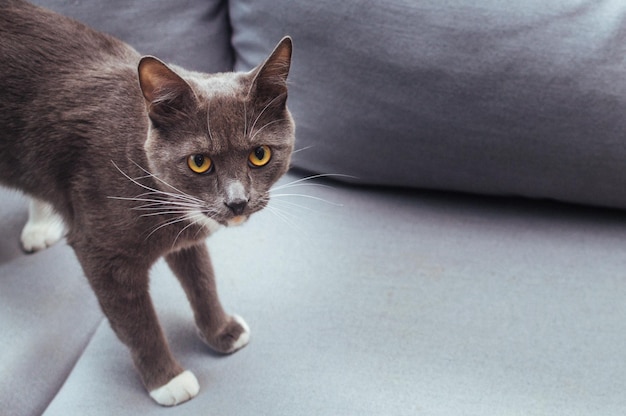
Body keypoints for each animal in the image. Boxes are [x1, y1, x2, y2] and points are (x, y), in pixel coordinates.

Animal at [0, 0, 292, 404]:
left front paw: (221, 331)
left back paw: (40, 225)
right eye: (199, 161)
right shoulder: (101, 252)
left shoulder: (187, 231)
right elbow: (136, 320)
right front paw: (168, 380)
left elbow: (202, 278)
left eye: (259, 154)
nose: (237, 202)